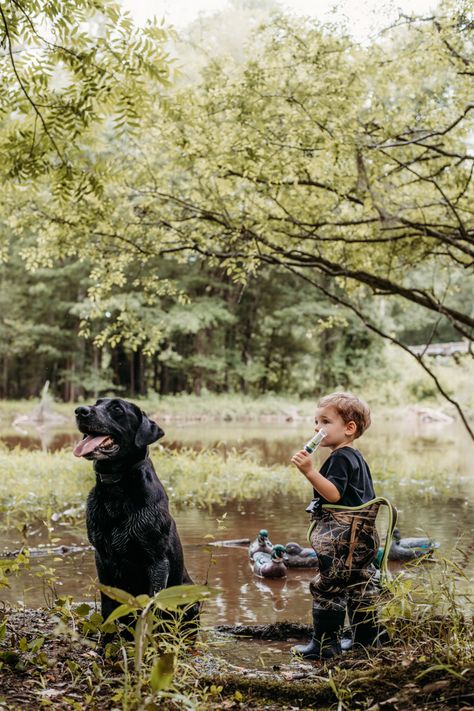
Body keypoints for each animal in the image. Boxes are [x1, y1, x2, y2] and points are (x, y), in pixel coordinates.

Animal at [74, 400, 196, 628]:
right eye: (96, 403)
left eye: (117, 409)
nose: (80, 411)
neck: (116, 488)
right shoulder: (102, 557)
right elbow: (108, 605)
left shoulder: (157, 561)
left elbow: (152, 607)